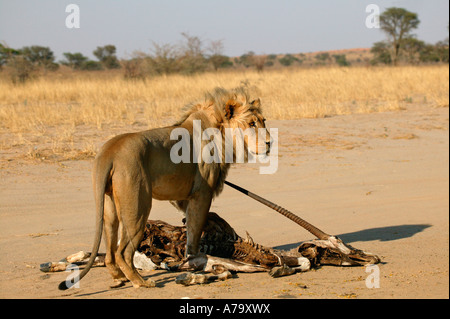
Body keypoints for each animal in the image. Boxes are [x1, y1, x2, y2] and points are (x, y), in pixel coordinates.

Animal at [59, 87, 270, 290]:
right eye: (251, 124)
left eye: (263, 121)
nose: (270, 142)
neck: (220, 133)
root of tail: (110, 151)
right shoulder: (202, 194)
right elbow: (195, 232)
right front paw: (195, 260)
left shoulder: (184, 198)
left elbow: (190, 229)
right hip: (138, 208)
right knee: (123, 252)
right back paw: (141, 282)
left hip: (109, 208)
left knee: (111, 250)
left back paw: (119, 278)